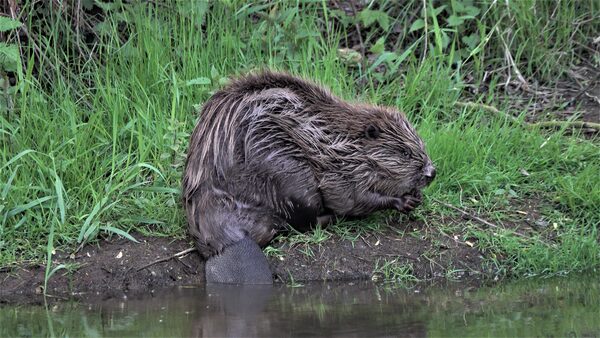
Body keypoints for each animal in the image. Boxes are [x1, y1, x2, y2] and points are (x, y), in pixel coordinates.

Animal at [180, 72, 434, 286]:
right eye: (404, 152)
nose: (431, 173)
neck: (339, 141)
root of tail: (227, 242)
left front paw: (415, 196)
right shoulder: (337, 173)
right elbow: (353, 200)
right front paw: (404, 201)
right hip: (291, 176)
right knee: (298, 221)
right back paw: (329, 218)